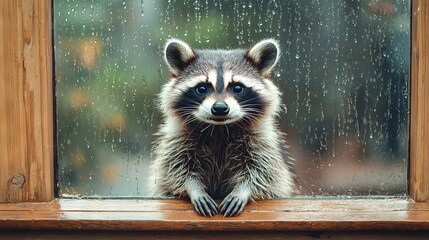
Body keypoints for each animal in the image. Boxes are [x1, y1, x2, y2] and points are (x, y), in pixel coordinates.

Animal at [148, 38, 294, 217]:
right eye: (202, 88)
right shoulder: (177, 139)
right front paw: (194, 189)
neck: (219, 128)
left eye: (237, 87)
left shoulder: (262, 140)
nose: (219, 108)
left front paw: (242, 190)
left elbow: (263, 172)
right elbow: (175, 169)